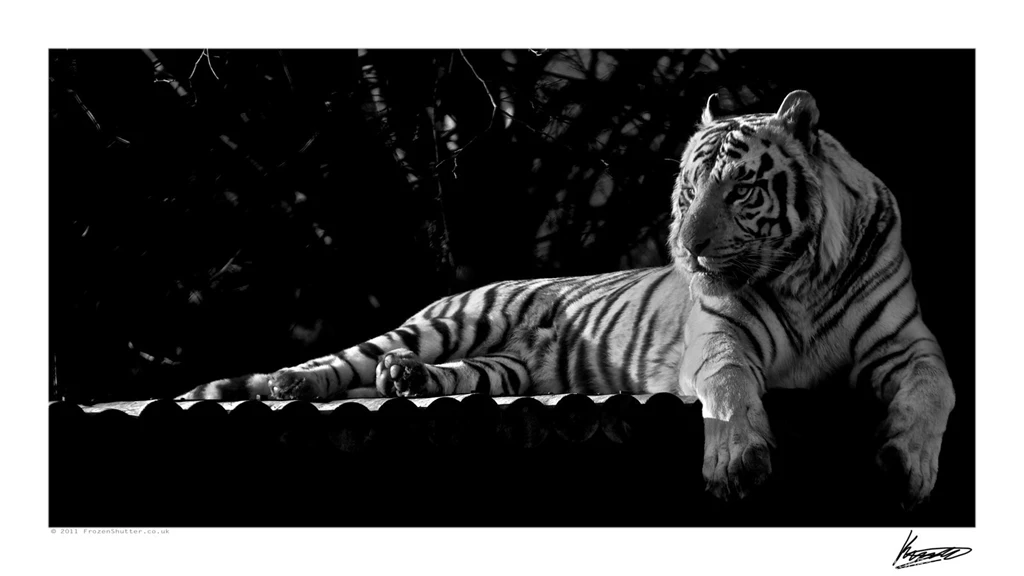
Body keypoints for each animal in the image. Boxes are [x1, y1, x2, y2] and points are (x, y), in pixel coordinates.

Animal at [180, 90, 955, 507]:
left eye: (741, 190)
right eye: (688, 188)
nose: (687, 248)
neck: (802, 276)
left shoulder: (908, 344)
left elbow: (934, 391)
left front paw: (907, 466)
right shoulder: (721, 338)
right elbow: (732, 388)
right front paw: (737, 463)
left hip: (502, 371)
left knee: (422, 375)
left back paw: (405, 381)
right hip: (453, 322)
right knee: (344, 362)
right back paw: (291, 383)